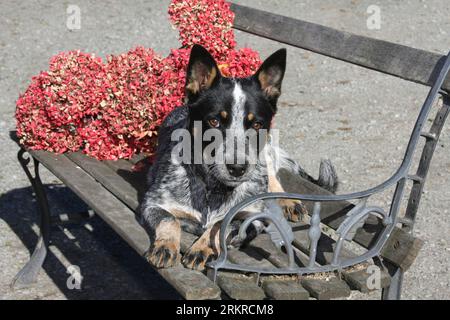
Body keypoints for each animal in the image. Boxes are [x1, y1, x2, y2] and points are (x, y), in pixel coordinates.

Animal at [138, 45, 338, 270]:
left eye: (257, 124)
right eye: (214, 121)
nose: (237, 168)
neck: (214, 189)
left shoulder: (254, 218)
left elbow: (220, 225)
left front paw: (202, 247)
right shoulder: (152, 203)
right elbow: (169, 219)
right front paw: (164, 246)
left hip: (266, 152)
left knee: (271, 176)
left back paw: (288, 201)